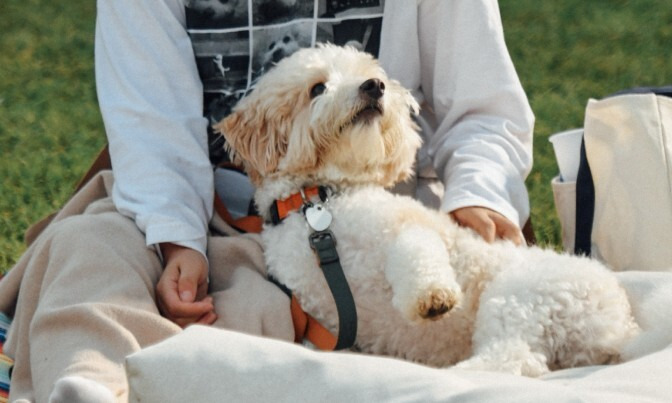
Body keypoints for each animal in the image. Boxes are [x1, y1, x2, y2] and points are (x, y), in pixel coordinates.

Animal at [215, 44, 640, 376]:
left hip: (518, 297)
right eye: (317, 87)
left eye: (370, 75)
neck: (318, 203)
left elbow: (418, 252)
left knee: (513, 359)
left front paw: (433, 298)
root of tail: (622, 326)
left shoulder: (409, 227)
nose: (374, 86)